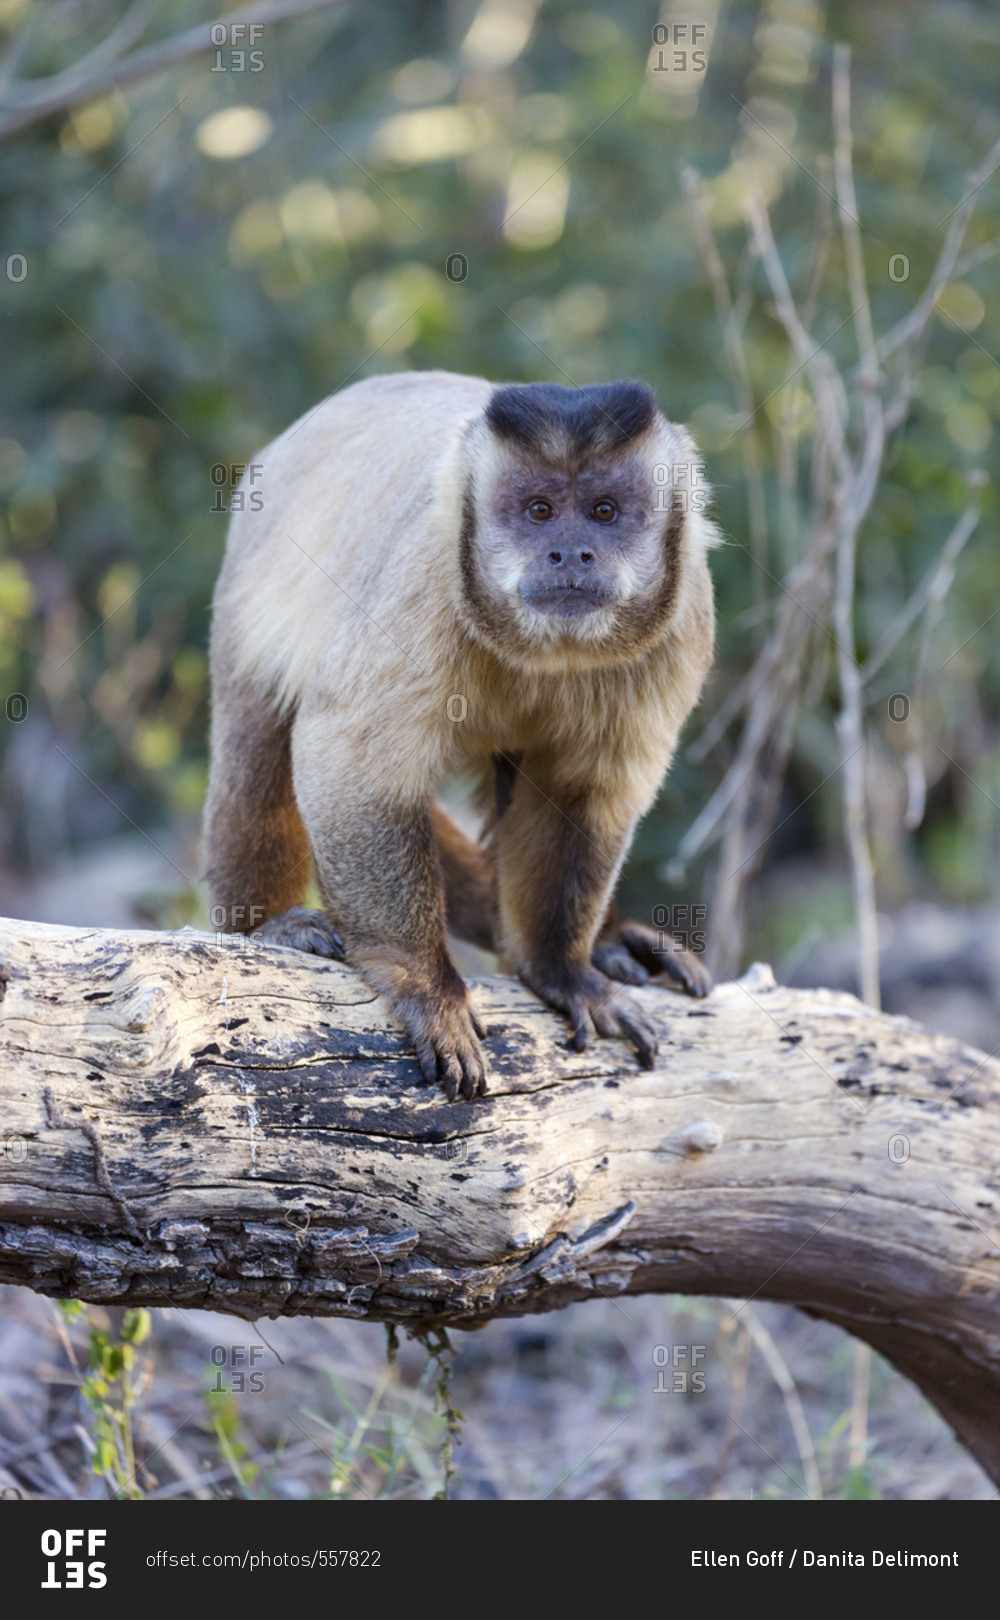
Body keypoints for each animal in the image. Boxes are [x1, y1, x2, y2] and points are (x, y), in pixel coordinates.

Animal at [205, 369, 716, 1101]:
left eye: (604, 511)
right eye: (538, 511)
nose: (570, 552)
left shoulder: (683, 616)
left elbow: (585, 795)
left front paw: (561, 970)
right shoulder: (424, 576)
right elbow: (352, 765)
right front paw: (425, 984)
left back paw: (604, 941)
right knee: (260, 732)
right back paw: (265, 925)